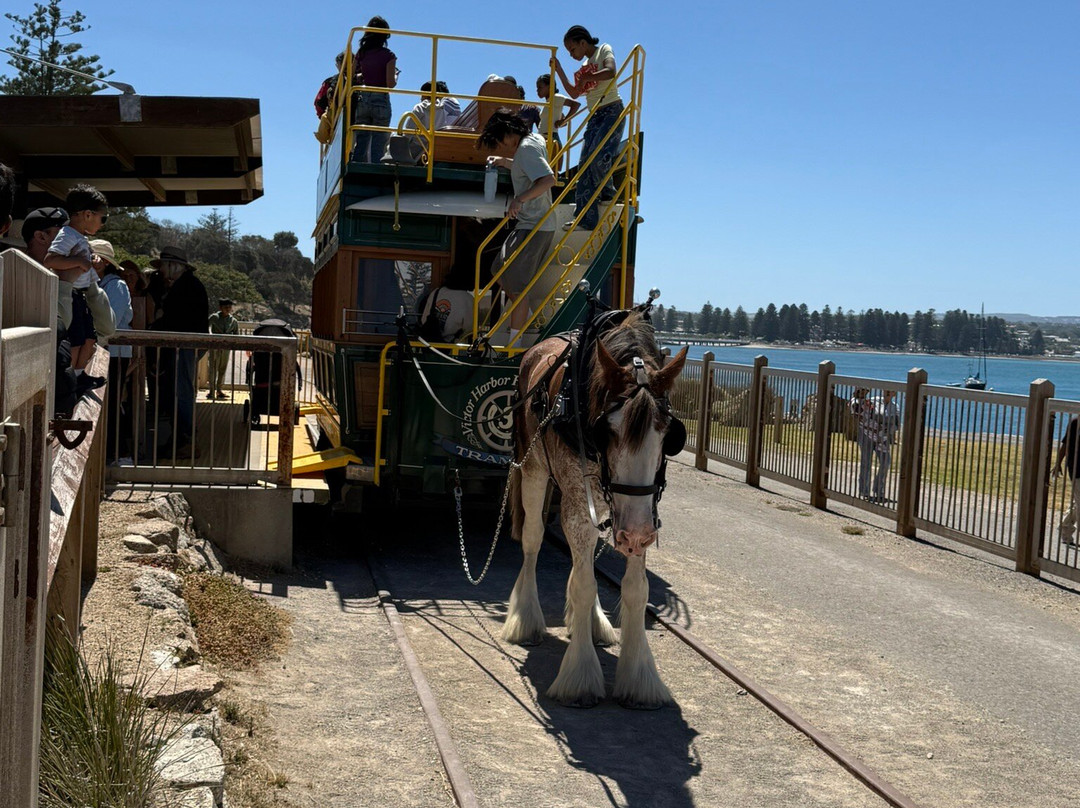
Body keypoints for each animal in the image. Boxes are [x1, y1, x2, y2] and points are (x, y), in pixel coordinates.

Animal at [503, 310, 688, 708]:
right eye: (607, 431)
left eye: (669, 435)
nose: (635, 534)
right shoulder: (580, 503)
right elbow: (584, 583)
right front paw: (580, 676)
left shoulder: (636, 516)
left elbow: (635, 589)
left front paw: (639, 676)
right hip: (534, 469)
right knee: (533, 540)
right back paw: (525, 619)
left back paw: (589, 623)